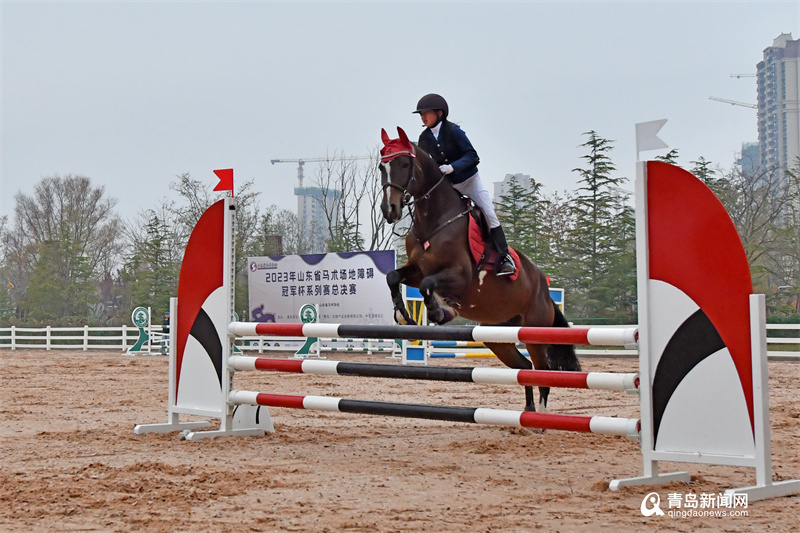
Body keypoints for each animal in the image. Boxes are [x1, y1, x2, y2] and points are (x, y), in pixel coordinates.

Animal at [379, 127, 580, 412]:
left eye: (405, 164)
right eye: (381, 167)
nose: (390, 210)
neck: (434, 221)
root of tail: (544, 289)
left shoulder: (459, 277)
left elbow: (429, 286)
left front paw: (441, 312)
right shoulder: (416, 271)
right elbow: (393, 276)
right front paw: (403, 315)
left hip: (534, 333)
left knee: (542, 372)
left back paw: (541, 416)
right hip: (497, 335)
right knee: (525, 367)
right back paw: (528, 413)